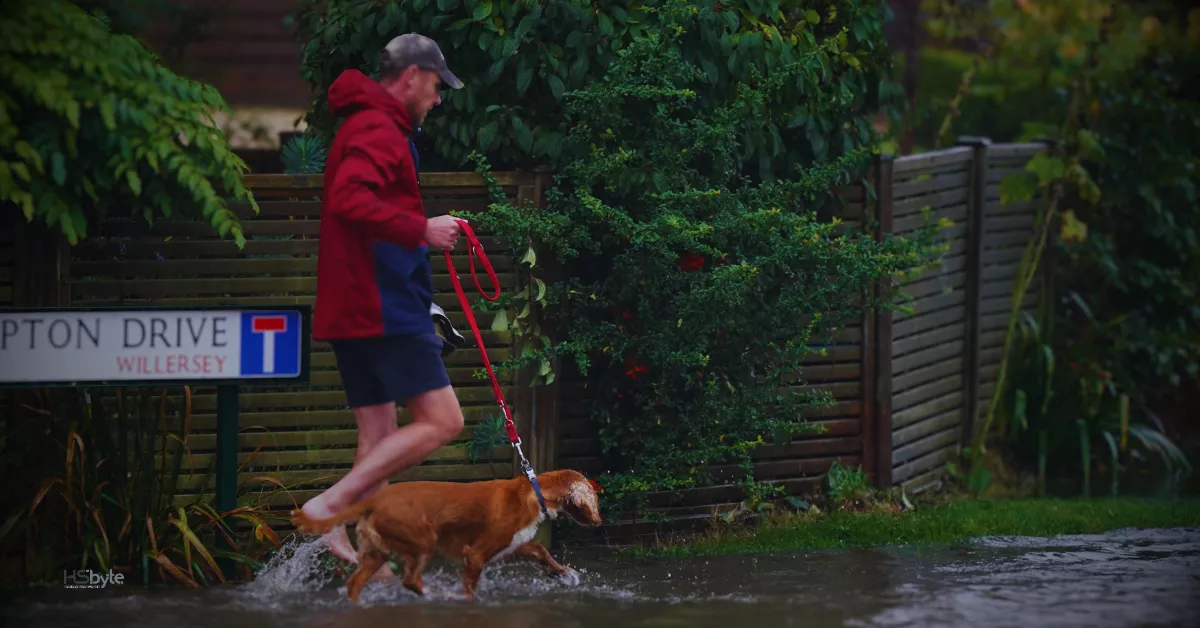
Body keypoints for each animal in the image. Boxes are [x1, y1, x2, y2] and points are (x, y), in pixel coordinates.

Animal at [289, 468, 604, 602]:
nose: (599, 521)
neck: (533, 491)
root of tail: (374, 500)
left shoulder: (512, 543)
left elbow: (540, 551)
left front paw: (563, 573)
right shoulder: (476, 553)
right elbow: (470, 591)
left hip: (376, 553)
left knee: (355, 583)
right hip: (423, 540)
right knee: (410, 579)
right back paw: (437, 594)